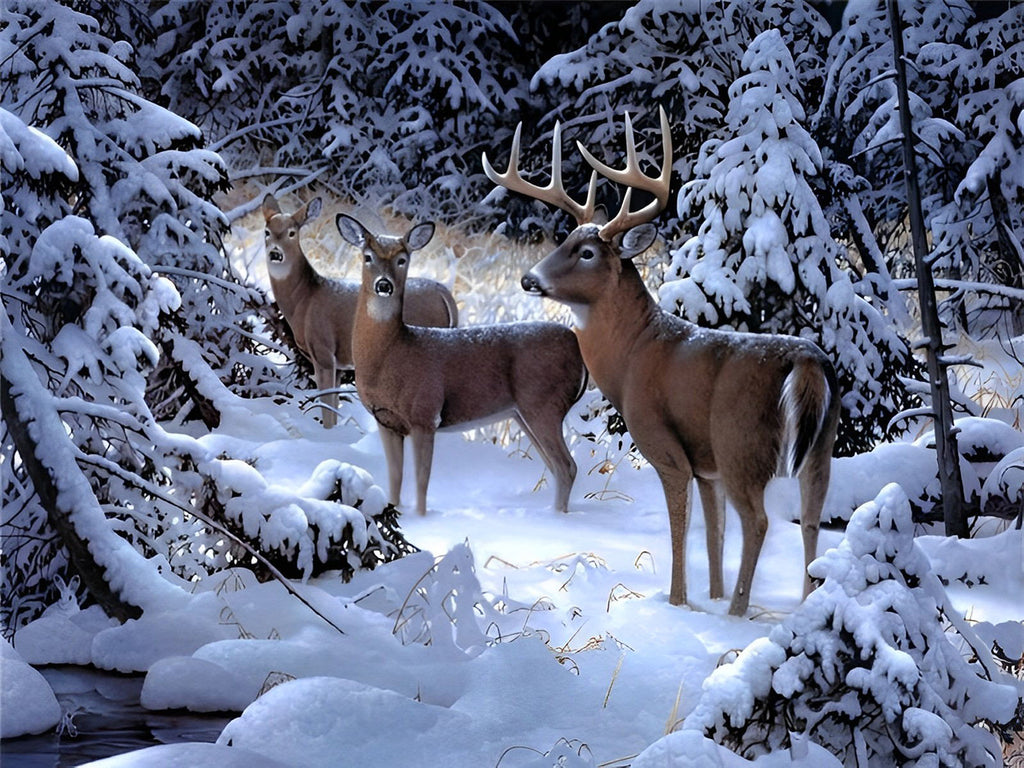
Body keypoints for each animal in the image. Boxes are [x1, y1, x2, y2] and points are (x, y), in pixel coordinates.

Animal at [262, 193, 458, 428]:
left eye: (292, 233)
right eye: (266, 232)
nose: (275, 253)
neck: (305, 300)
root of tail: (445, 294)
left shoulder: (323, 350)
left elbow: (326, 407)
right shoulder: (339, 364)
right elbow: (333, 407)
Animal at [339, 214, 589, 520]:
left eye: (402, 259)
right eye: (367, 257)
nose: (384, 285)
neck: (391, 353)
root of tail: (577, 348)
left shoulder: (425, 414)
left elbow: (422, 481)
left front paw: (422, 519)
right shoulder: (386, 421)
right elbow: (395, 479)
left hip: (544, 403)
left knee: (567, 467)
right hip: (523, 412)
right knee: (557, 468)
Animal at [485, 108, 839, 618]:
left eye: (587, 253)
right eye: (563, 241)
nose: (528, 278)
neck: (633, 355)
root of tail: (806, 358)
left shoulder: (667, 446)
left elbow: (680, 530)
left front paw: (678, 602)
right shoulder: (707, 464)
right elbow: (713, 534)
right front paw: (711, 594)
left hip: (742, 443)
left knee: (758, 522)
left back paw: (737, 614)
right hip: (819, 447)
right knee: (810, 520)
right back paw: (805, 604)